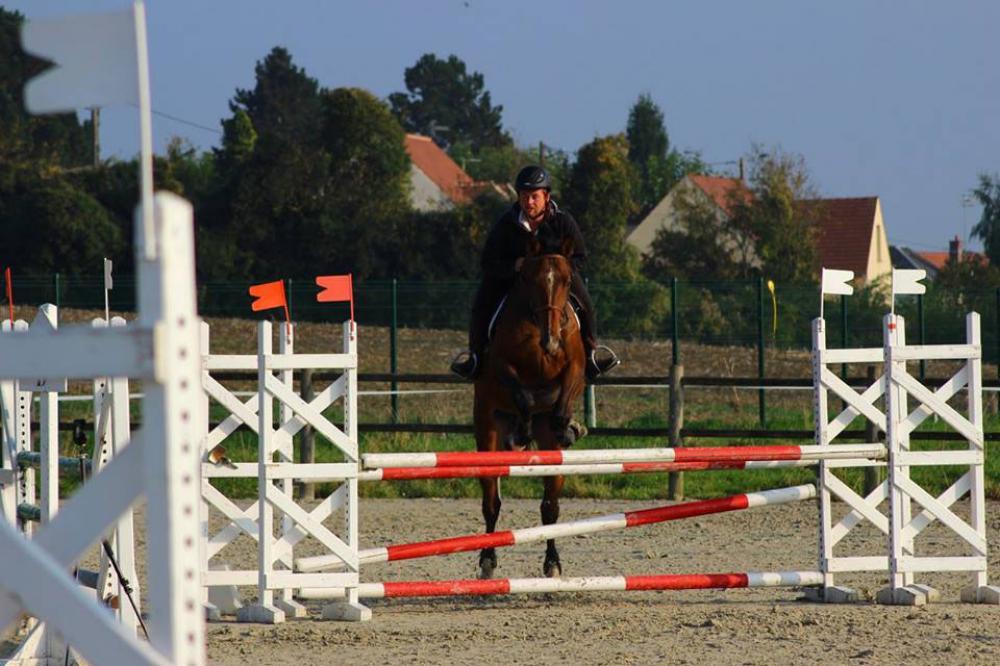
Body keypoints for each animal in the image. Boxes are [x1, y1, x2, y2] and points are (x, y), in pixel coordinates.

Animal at [474, 233, 588, 576]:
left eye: (567, 280)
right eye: (528, 278)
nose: (550, 340)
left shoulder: (575, 369)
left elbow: (561, 404)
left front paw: (569, 427)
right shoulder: (502, 366)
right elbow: (522, 394)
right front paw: (522, 433)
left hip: (550, 454)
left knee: (550, 507)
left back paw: (552, 563)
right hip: (487, 430)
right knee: (491, 502)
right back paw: (487, 560)